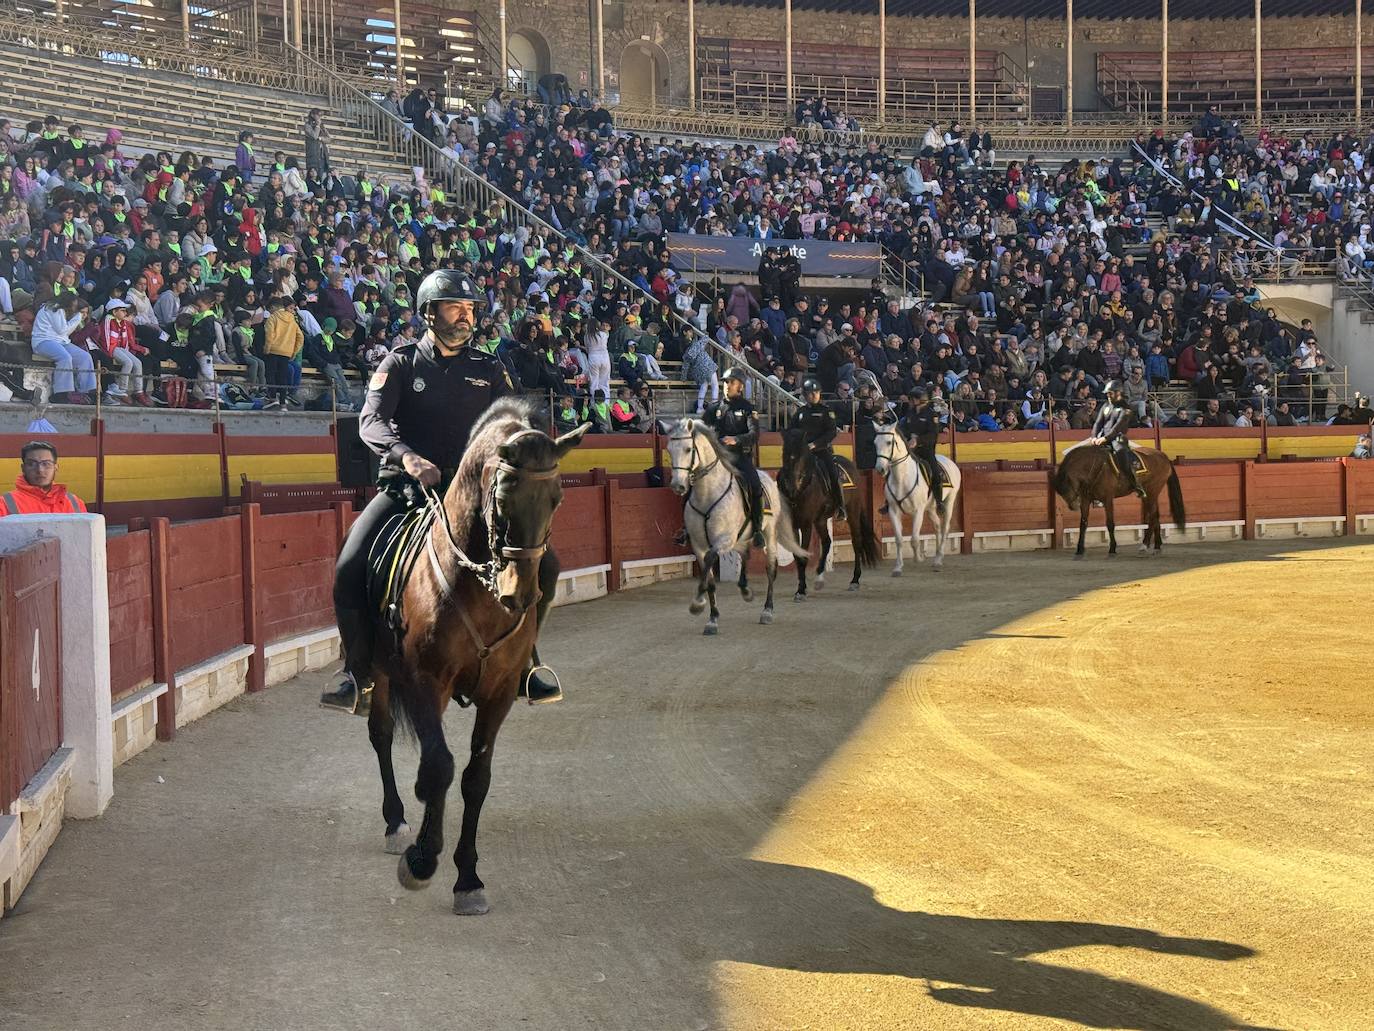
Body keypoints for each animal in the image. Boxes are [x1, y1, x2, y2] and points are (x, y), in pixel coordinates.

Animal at [368, 398, 582, 918]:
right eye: (502, 497)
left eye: (556, 500)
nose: (518, 595)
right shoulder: (427, 681)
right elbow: (440, 765)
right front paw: (423, 860)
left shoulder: (499, 693)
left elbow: (474, 778)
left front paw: (468, 878)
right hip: (379, 673)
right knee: (382, 734)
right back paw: (395, 821)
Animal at [662, 415, 802, 635]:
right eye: (669, 450)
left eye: (688, 449)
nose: (678, 486)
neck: (707, 494)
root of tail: (767, 477)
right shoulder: (698, 545)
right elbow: (710, 580)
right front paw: (712, 619)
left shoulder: (723, 540)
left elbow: (710, 561)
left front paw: (697, 604)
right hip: (742, 536)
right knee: (745, 553)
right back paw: (745, 589)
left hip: (769, 533)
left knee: (771, 568)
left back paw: (767, 611)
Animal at [780, 426, 873, 596]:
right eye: (784, 454)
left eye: (801, 457)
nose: (790, 487)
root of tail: (851, 464)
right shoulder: (793, 524)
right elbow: (797, 555)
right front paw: (801, 587)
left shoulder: (806, 524)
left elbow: (803, 556)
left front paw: (801, 591)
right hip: (821, 520)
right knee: (827, 541)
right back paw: (819, 579)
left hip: (853, 512)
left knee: (856, 542)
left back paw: (854, 581)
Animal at [873, 420, 961, 582]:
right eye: (875, 442)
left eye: (889, 442)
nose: (880, 469)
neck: (902, 477)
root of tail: (950, 461)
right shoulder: (893, 511)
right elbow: (899, 539)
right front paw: (897, 568)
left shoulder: (918, 511)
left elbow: (914, 538)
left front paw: (918, 558)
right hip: (930, 508)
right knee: (937, 526)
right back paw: (936, 557)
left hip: (949, 502)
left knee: (945, 527)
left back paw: (939, 560)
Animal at [1055, 442, 1187, 558]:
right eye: (1060, 491)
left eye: (1066, 486)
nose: (1073, 506)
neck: (1094, 467)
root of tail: (1163, 456)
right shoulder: (1085, 499)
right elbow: (1083, 524)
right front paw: (1079, 549)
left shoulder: (1108, 499)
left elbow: (1110, 523)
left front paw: (1112, 549)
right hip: (1149, 495)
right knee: (1155, 517)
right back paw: (1157, 546)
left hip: (1152, 491)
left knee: (1153, 517)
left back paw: (1144, 546)